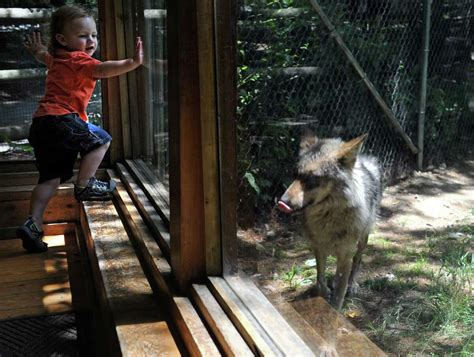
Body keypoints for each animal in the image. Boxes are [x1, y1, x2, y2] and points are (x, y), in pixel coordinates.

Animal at [278, 133, 382, 308]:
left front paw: (334, 308)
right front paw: (324, 294)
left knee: (357, 261)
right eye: (295, 175)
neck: (328, 217)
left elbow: (339, 293)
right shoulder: (318, 248)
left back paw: (352, 285)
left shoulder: (346, 254)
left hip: (362, 240)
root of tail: (365, 160)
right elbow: (320, 279)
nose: (281, 202)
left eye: (313, 179)